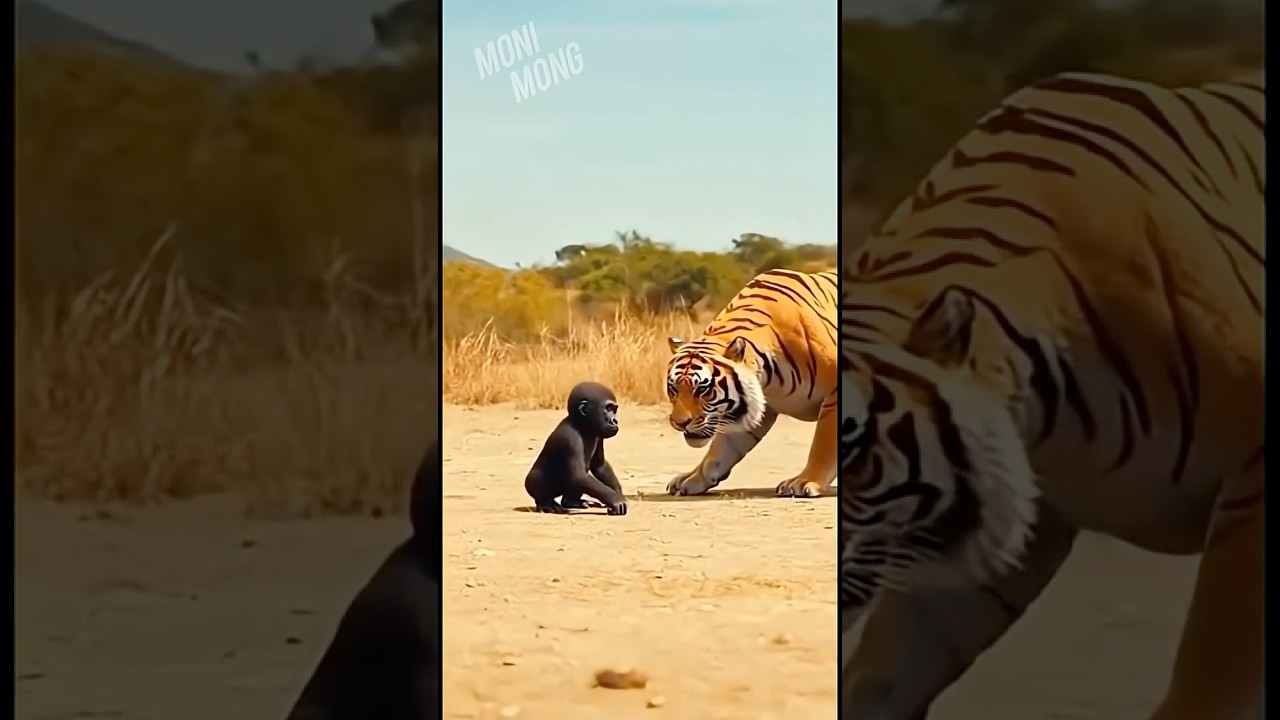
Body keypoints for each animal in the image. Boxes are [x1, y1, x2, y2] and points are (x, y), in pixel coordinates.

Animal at [664, 267, 839, 498]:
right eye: (673, 388)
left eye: (703, 389)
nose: (679, 423)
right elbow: (721, 450)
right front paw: (692, 478)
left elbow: (824, 443)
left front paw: (804, 481)